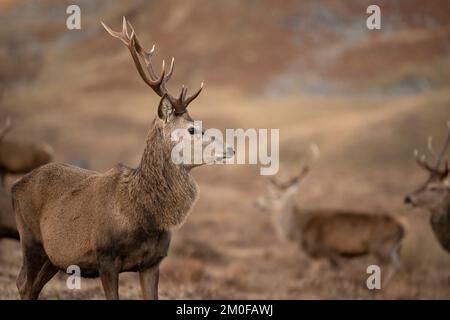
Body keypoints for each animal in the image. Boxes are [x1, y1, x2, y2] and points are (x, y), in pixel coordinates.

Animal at [12, 18, 234, 300]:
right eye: (192, 129)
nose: (231, 148)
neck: (142, 215)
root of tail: (15, 186)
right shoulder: (105, 256)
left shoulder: (152, 262)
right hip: (30, 239)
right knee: (23, 282)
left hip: (55, 257)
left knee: (32, 286)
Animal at [256, 147, 404, 276]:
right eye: (268, 193)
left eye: (276, 196)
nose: (257, 203)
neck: (299, 228)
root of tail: (402, 229)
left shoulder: (323, 252)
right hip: (394, 250)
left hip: (381, 247)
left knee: (393, 267)